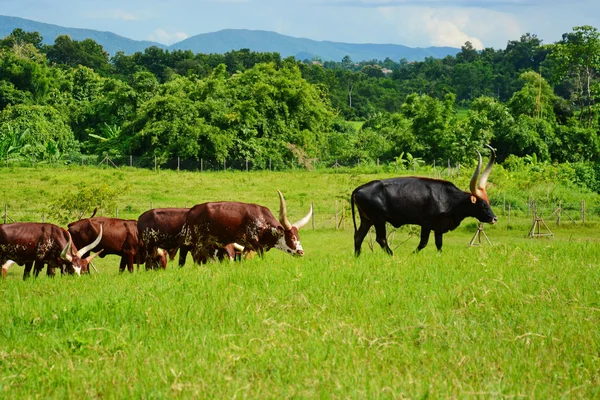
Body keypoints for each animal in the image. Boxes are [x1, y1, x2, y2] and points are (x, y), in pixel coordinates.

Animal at [352, 145, 496, 255]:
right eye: (483, 204)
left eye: (489, 202)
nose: (495, 218)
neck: (449, 199)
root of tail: (358, 189)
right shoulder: (426, 223)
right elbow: (423, 243)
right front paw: (411, 255)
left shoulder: (438, 227)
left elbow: (439, 244)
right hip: (379, 219)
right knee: (380, 239)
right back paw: (392, 255)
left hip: (367, 219)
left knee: (358, 237)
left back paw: (357, 257)